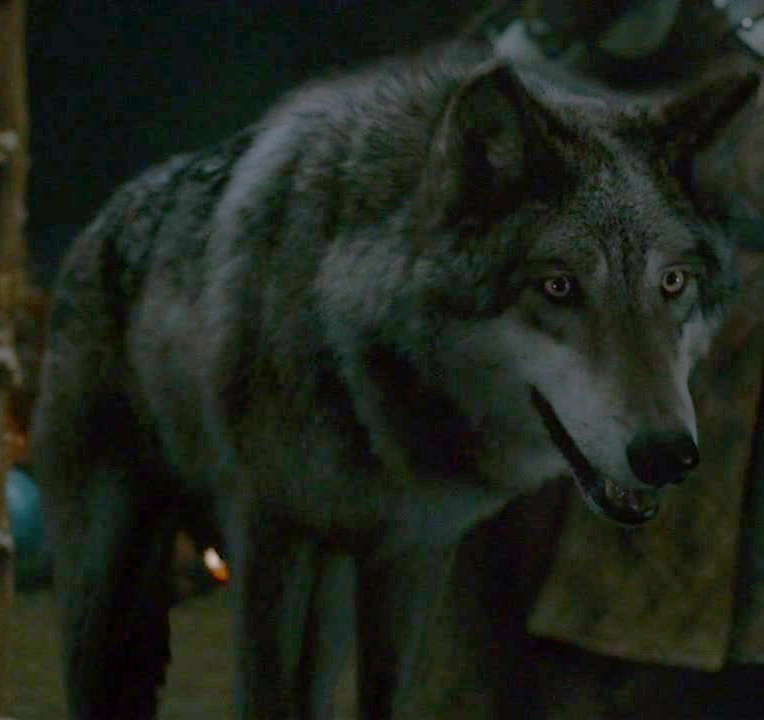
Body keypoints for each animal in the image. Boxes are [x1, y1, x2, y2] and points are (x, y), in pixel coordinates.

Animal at [31, 40, 758, 720]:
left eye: (673, 282)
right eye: (558, 286)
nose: (667, 454)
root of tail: (98, 225)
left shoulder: (411, 556)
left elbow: (386, 698)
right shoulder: (269, 541)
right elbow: (265, 698)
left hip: (326, 597)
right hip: (103, 590)